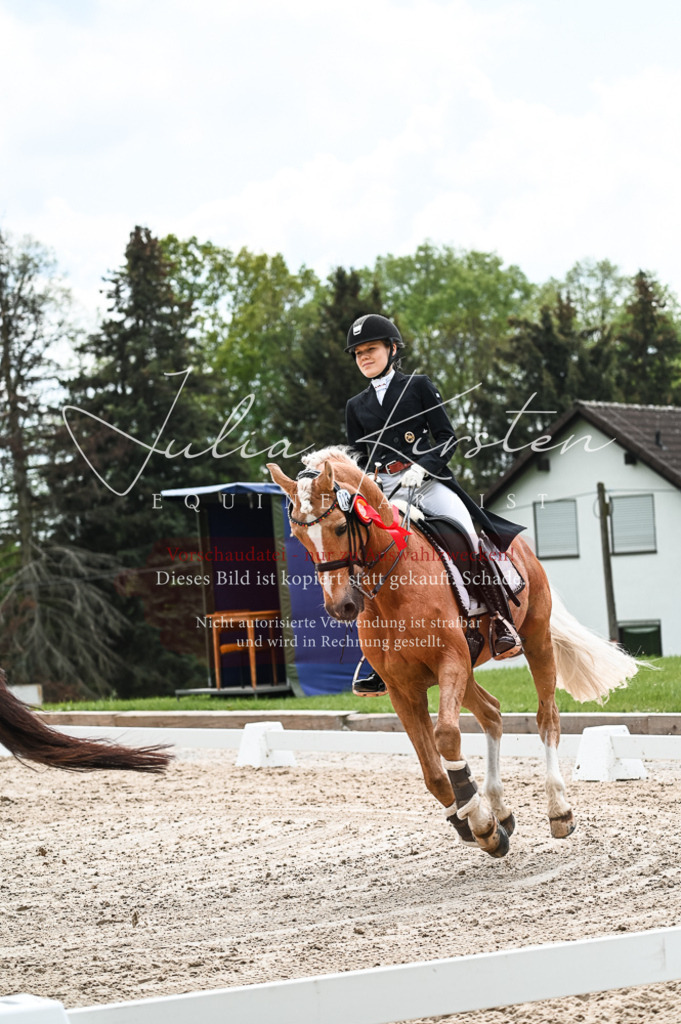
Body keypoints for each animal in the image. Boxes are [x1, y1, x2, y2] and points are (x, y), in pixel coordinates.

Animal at [268, 447, 639, 859]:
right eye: (299, 536)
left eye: (339, 528)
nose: (341, 607)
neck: (392, 587)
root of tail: (520, 545)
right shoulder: (402, 688)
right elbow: (432, 771)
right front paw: (475, 821)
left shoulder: (450, 663)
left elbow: (446, 736)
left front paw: (481, 824)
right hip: (471, 667)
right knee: (492, 712)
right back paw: (500, 808)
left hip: (535, 639)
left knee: (547, 718)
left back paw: (558, 810)